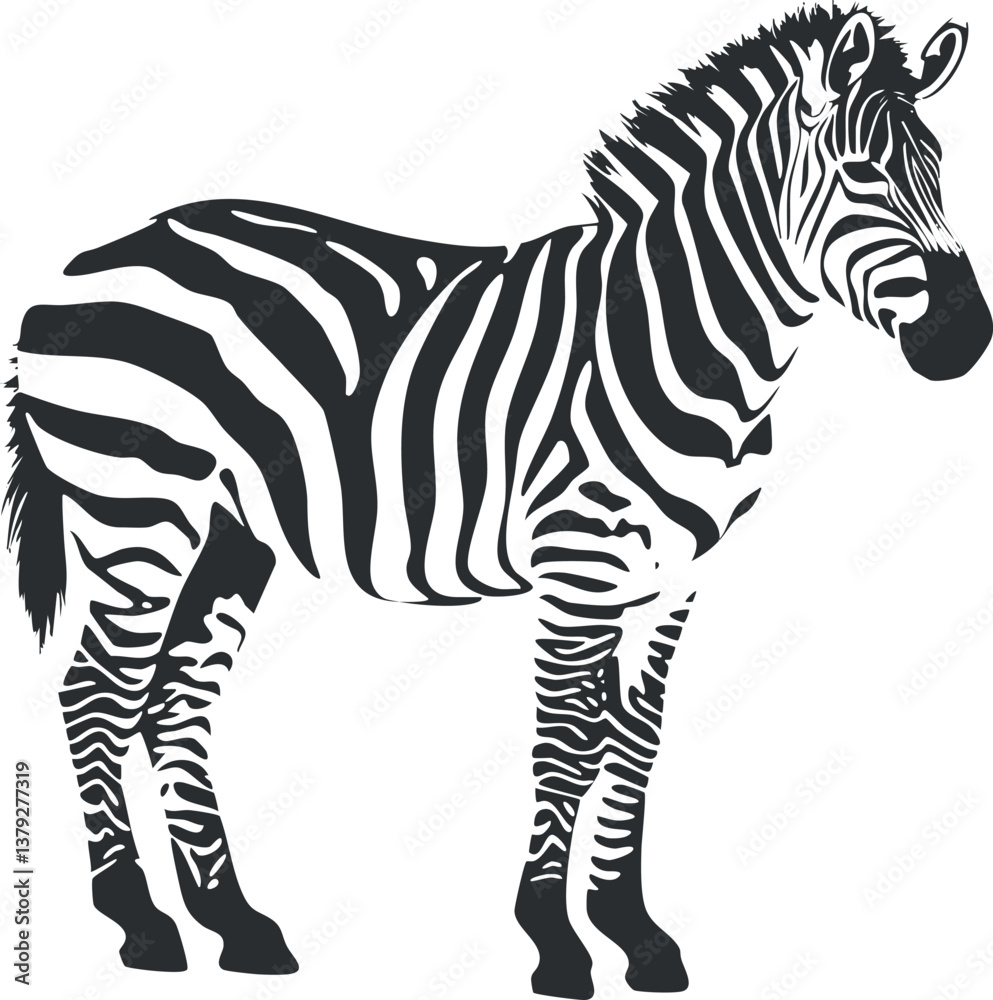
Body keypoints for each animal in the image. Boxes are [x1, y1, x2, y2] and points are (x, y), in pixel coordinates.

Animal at [5, 5, 990, 997]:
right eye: (860, 173)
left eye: (940, 167)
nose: (966, 337)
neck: (682, 341)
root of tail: (95, 258)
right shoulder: (578, 563)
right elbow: (568, 738)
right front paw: (555, 942)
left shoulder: (674, 577)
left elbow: (634, 736)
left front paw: (633, 934)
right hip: (137, 514)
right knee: (97, 691)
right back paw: (140, 923)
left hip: (231, 534)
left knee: (176, 699)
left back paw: (235, 925)